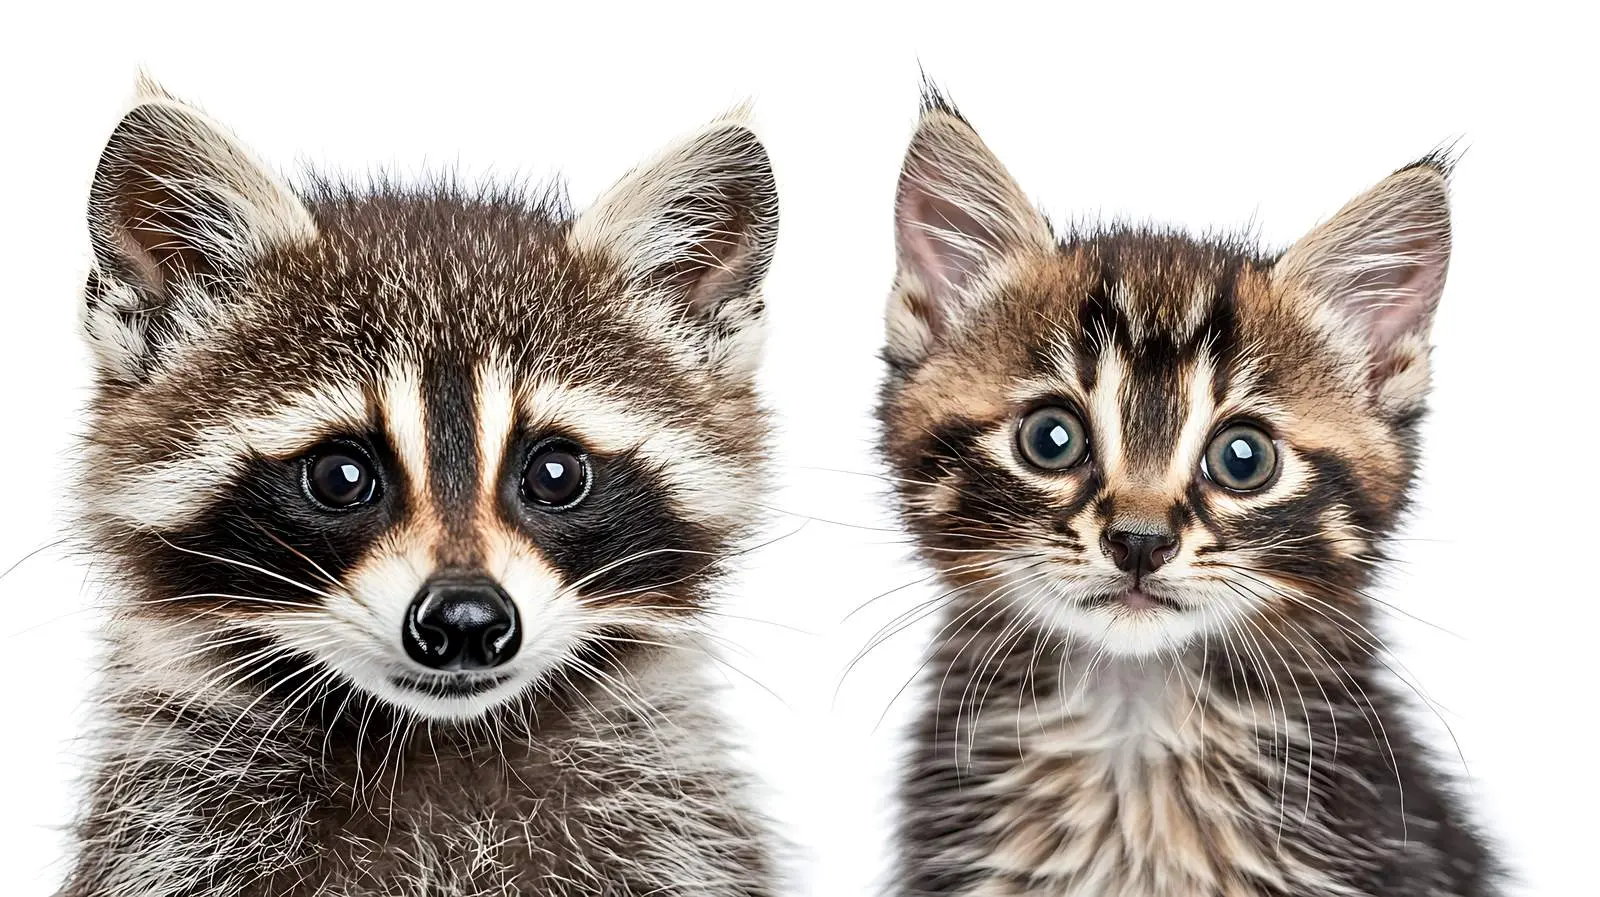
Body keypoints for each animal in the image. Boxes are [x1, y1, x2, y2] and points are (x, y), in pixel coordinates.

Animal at [61, 79, 780, 897]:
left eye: (555, 473)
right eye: (341, 476)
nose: (465, 619)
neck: (437, 738)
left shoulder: (669, 832)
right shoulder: (171, 834)